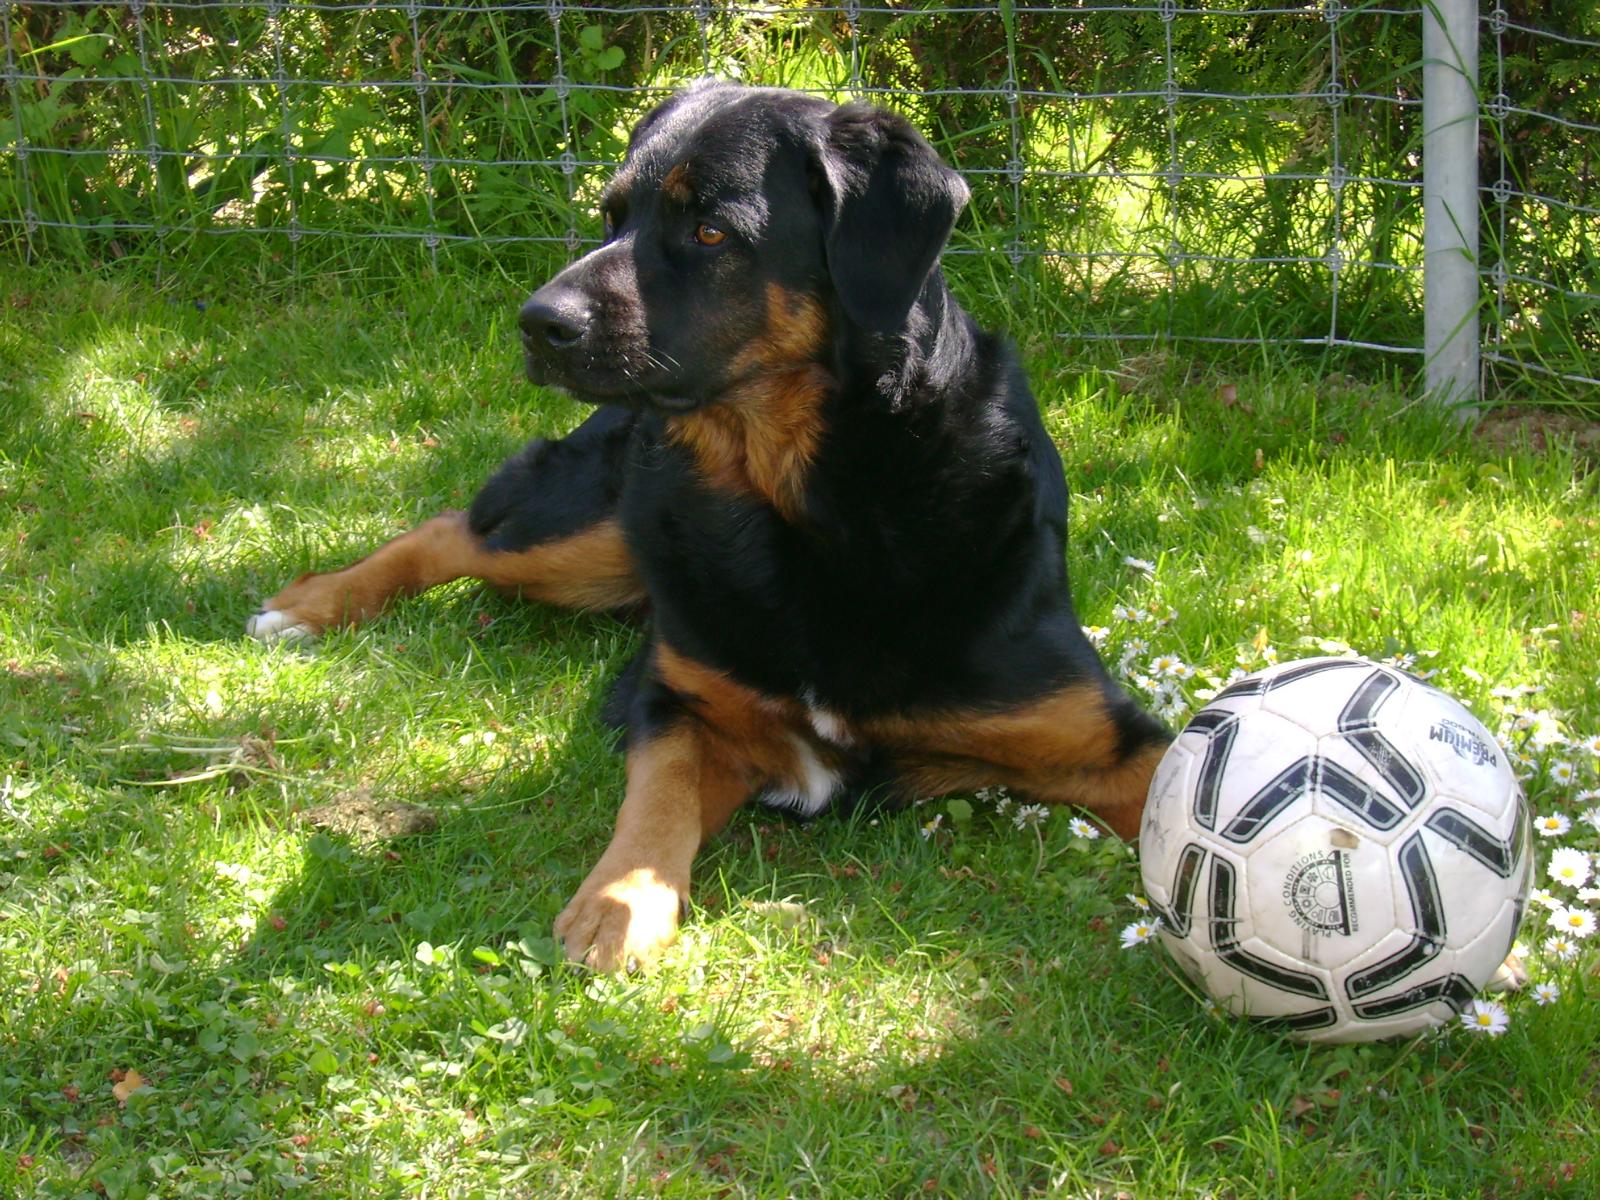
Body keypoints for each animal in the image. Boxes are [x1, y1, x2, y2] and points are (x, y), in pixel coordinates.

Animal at [247, 81, 1171, 971]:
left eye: (712, 231)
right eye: (613, 215)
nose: (536, 323)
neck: (812, 504)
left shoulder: (1103, 737)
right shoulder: (680, 701)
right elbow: (661, 797)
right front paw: (618, 902)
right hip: (597, 540)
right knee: (458, 529)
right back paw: (310, 605)